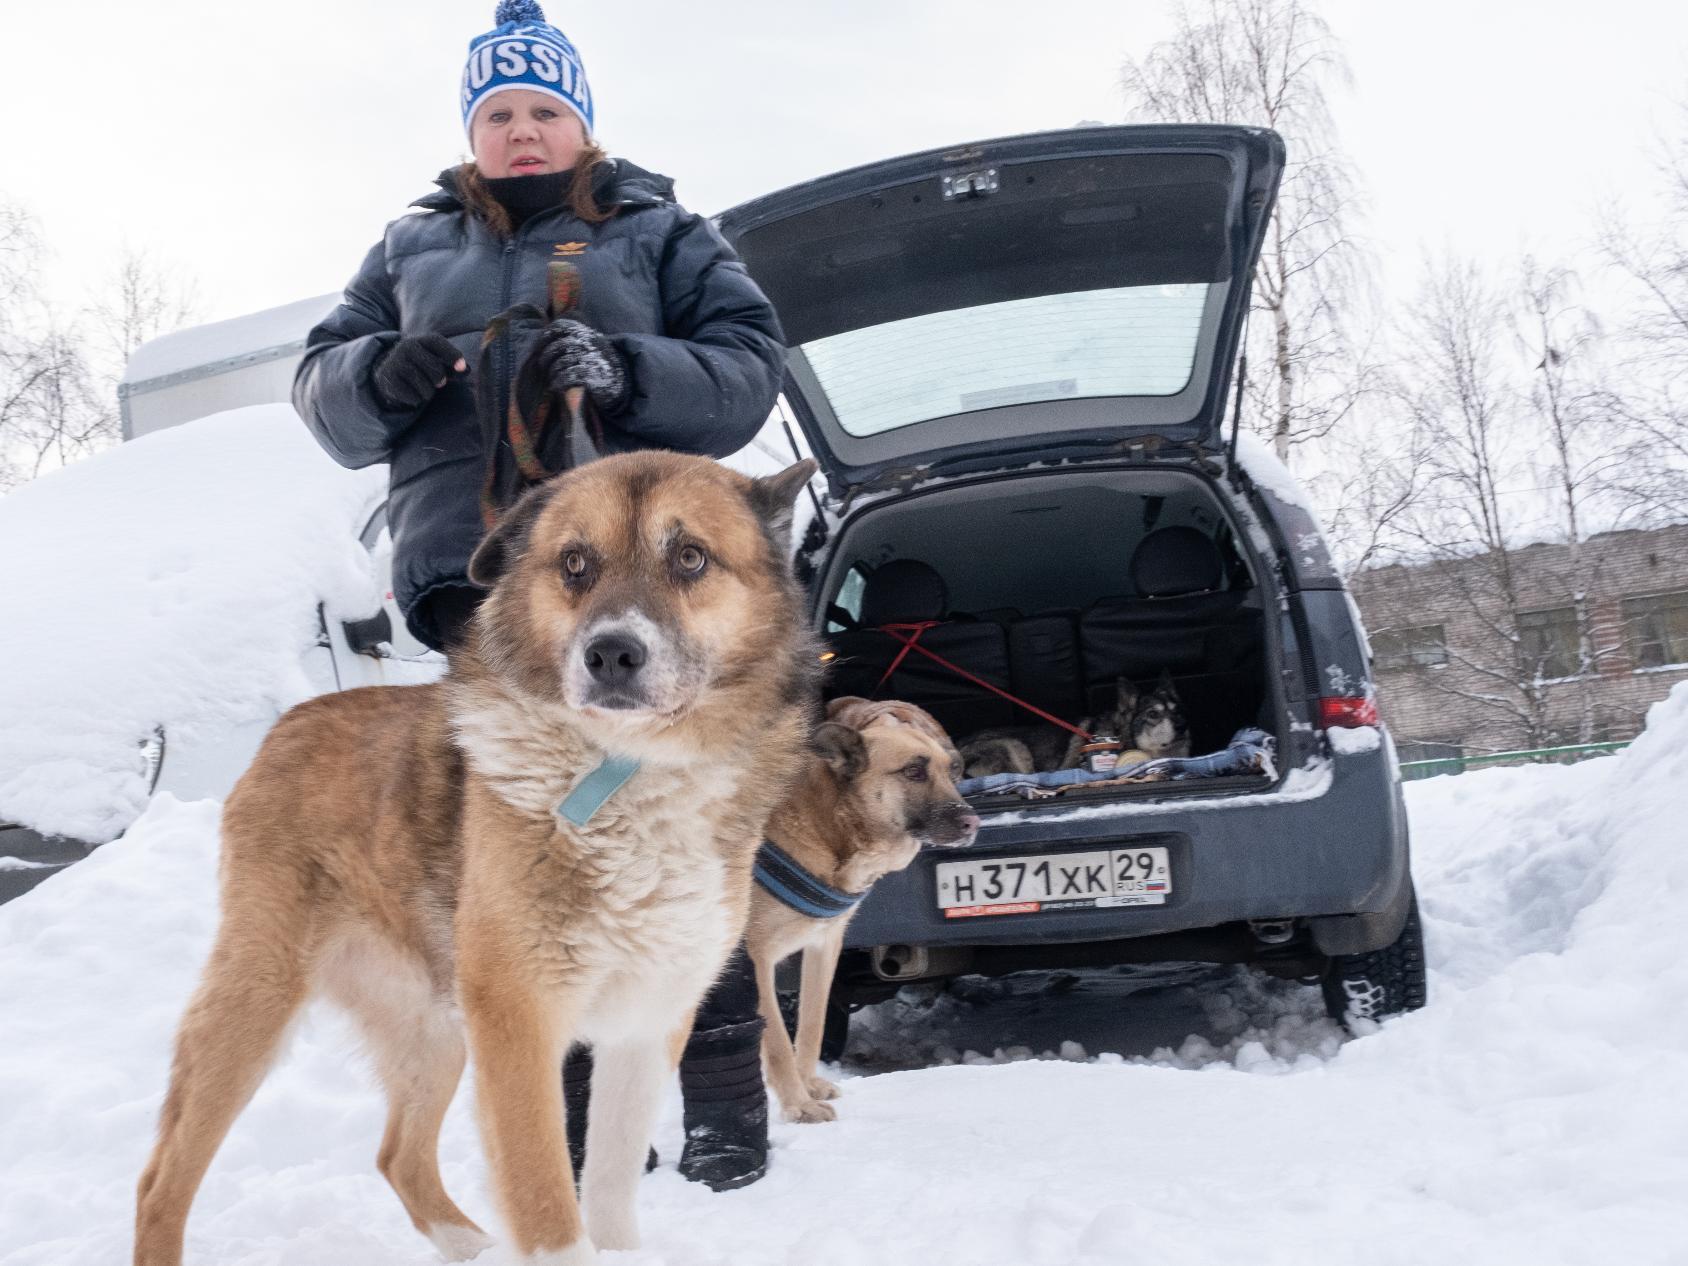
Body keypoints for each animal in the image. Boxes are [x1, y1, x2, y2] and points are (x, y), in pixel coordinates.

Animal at [131, 455, 816, 1266]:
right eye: (574, 562)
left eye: (690, 557)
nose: (611, 654)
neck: (630, 771)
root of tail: (288, 723)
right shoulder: (519, 1025)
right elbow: (551, 1213)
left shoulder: (646, 1024)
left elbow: (610, 1188)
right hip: (260, 998)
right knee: (160, 1180)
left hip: (435, 1029)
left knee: (398, 1155)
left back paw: (472, 1246)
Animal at [749, 698, 985, 1127]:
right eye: (913, 771)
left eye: (954, 769)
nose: (972, 823)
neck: (826, 824)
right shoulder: (755, 961)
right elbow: (776, 1041)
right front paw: (798, 1104)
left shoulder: (823, 947)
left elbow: (811, 1025)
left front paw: (808, 1086)